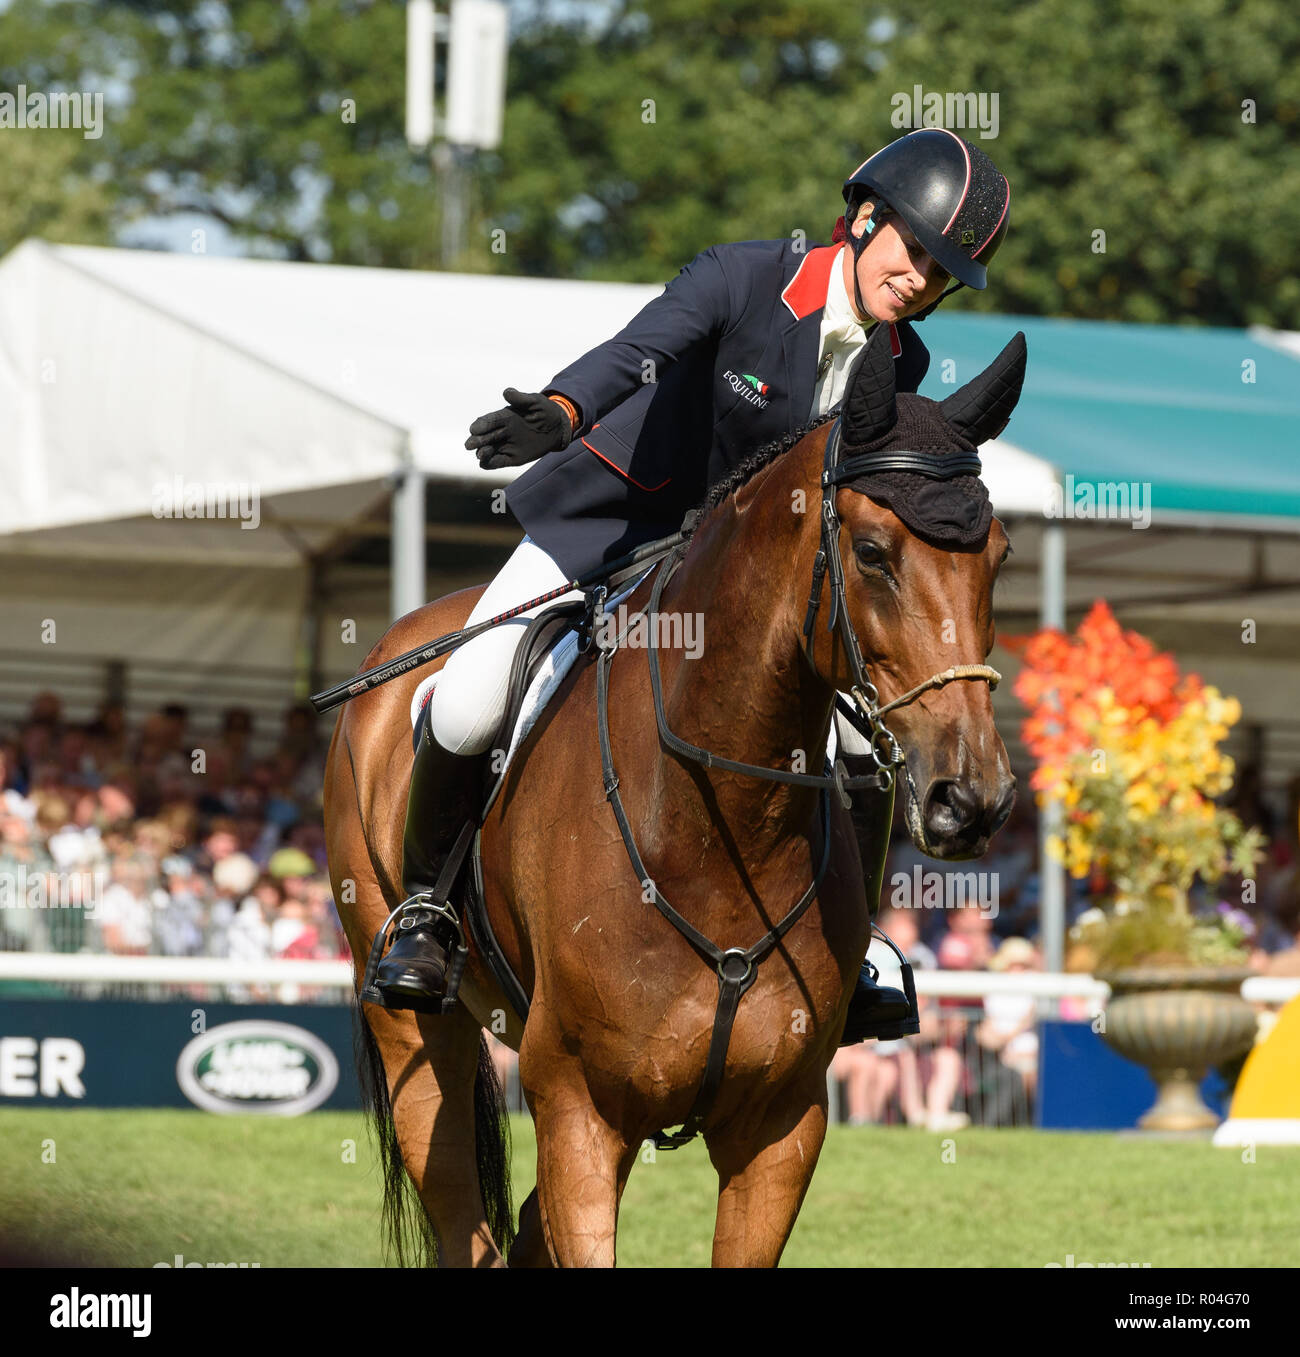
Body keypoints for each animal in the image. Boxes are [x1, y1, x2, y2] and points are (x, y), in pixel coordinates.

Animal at [322, 322, 1025, 1264]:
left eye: (999, 558)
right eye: (874, 554)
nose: (971, 798)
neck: (713, 822)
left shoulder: (783, 1126)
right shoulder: (580, 1111)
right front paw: (536, 421)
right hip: (415, 1028)